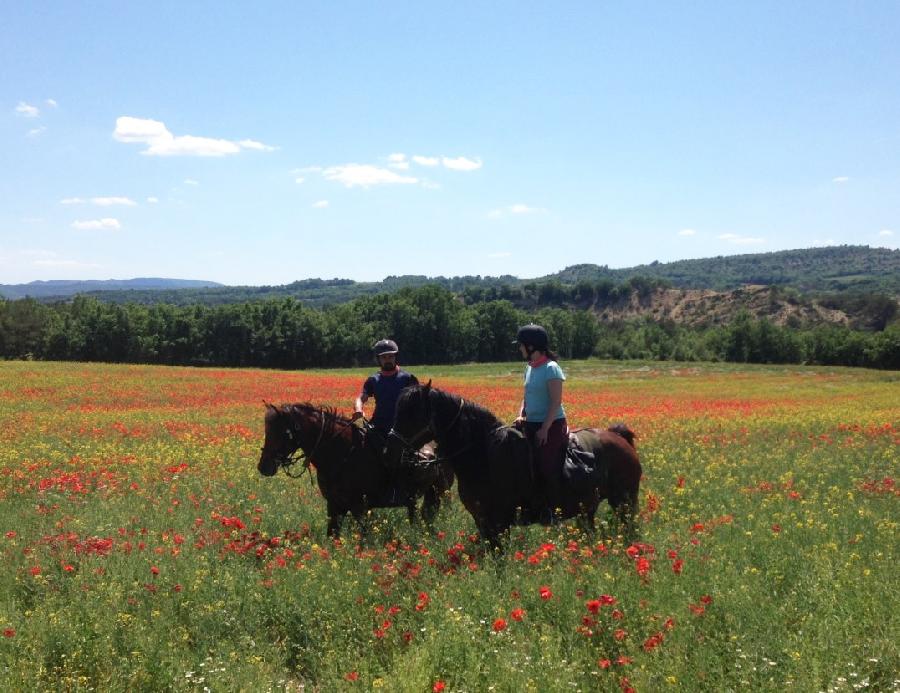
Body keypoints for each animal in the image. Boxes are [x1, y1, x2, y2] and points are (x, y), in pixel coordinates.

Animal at [258, 402, 458, 536]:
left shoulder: (359, 507)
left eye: (282, 432)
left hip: (439, 492)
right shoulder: (334, 505)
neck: (342, 452)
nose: (263, 467)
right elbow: (333, 536)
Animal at [386, 384, 640, 548]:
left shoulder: (499, 522)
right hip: (589, 509)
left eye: (412, 413)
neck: (484, 456)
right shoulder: (482, 522)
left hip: (624, 503)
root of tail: (618, 437)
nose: (390, 449)